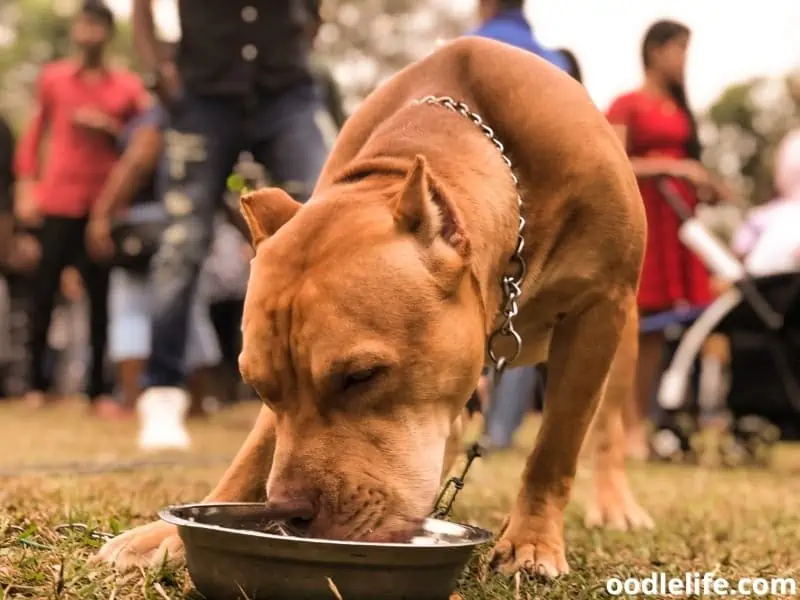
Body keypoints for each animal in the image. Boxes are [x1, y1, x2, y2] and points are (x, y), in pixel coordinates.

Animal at [97, 36, 652, 576]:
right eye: (257, 388)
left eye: (362, 376)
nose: (291, 513)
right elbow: (256, 450)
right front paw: (167, 534)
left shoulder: (597, 310)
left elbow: (555, 446)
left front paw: (533, 539)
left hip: (619, 339)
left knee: (604, 431)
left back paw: (614, 504)